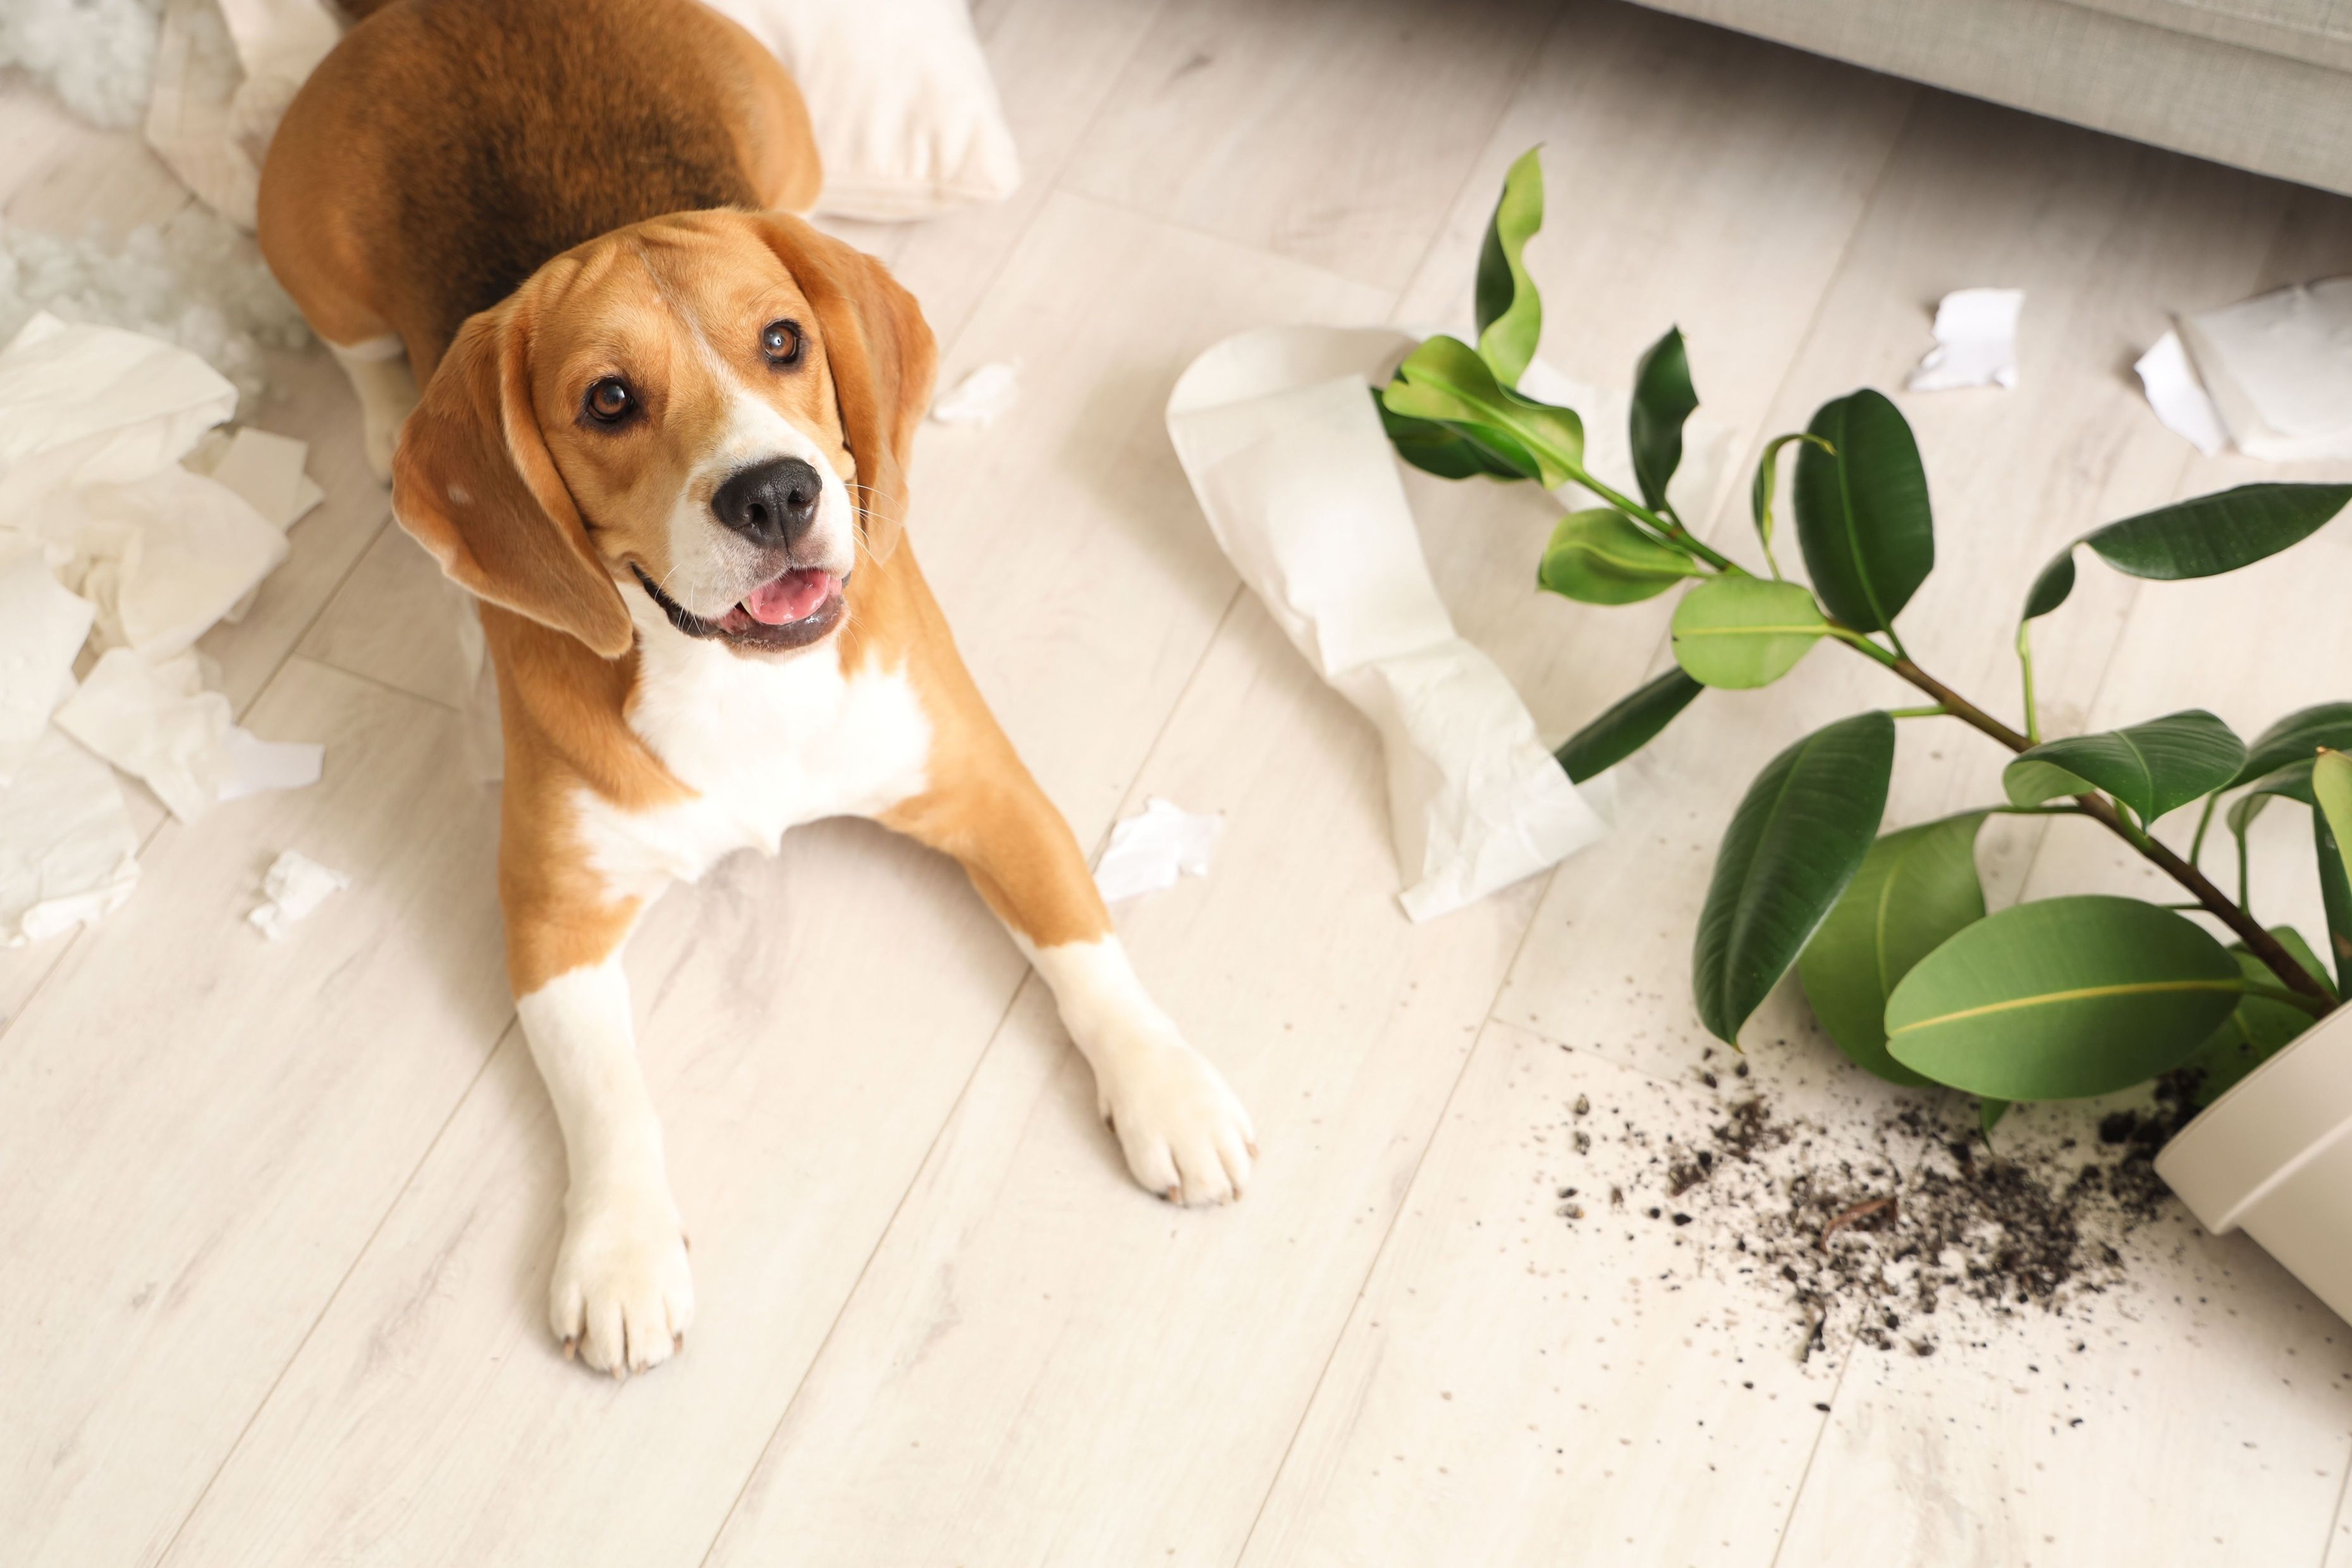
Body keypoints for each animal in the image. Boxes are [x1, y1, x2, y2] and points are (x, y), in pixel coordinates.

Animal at [262, 0, 1251, 1373]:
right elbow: (606, 1095)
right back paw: (372, 433)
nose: (777, 493)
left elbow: (1087, 944)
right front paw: (622, 1252)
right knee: (360, 357)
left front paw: (1167, 1088)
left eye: (783, 342)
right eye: (607, 400)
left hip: (793, 145)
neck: (738, 680)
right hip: (309, 250)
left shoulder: (994, 793)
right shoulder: (552, 915)